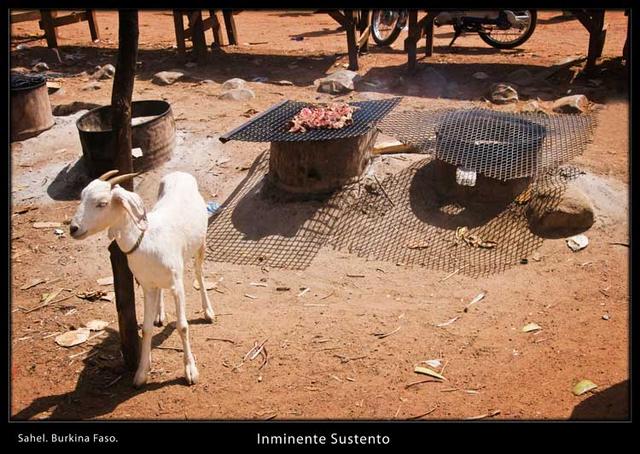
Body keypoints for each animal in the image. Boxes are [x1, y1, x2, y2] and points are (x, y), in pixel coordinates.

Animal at [69, 170, 215, 386]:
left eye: (102, 203)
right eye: (81, 197)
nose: (73, 228)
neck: (146, 240)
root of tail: (180, 173)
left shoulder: (177, 284)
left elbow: (182, 326)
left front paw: (190, 371)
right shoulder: (146, 284)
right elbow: (145, 329)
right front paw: (141, 373)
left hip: (201, 243)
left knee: (199, 272)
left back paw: (208, 312)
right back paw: (159, 315)